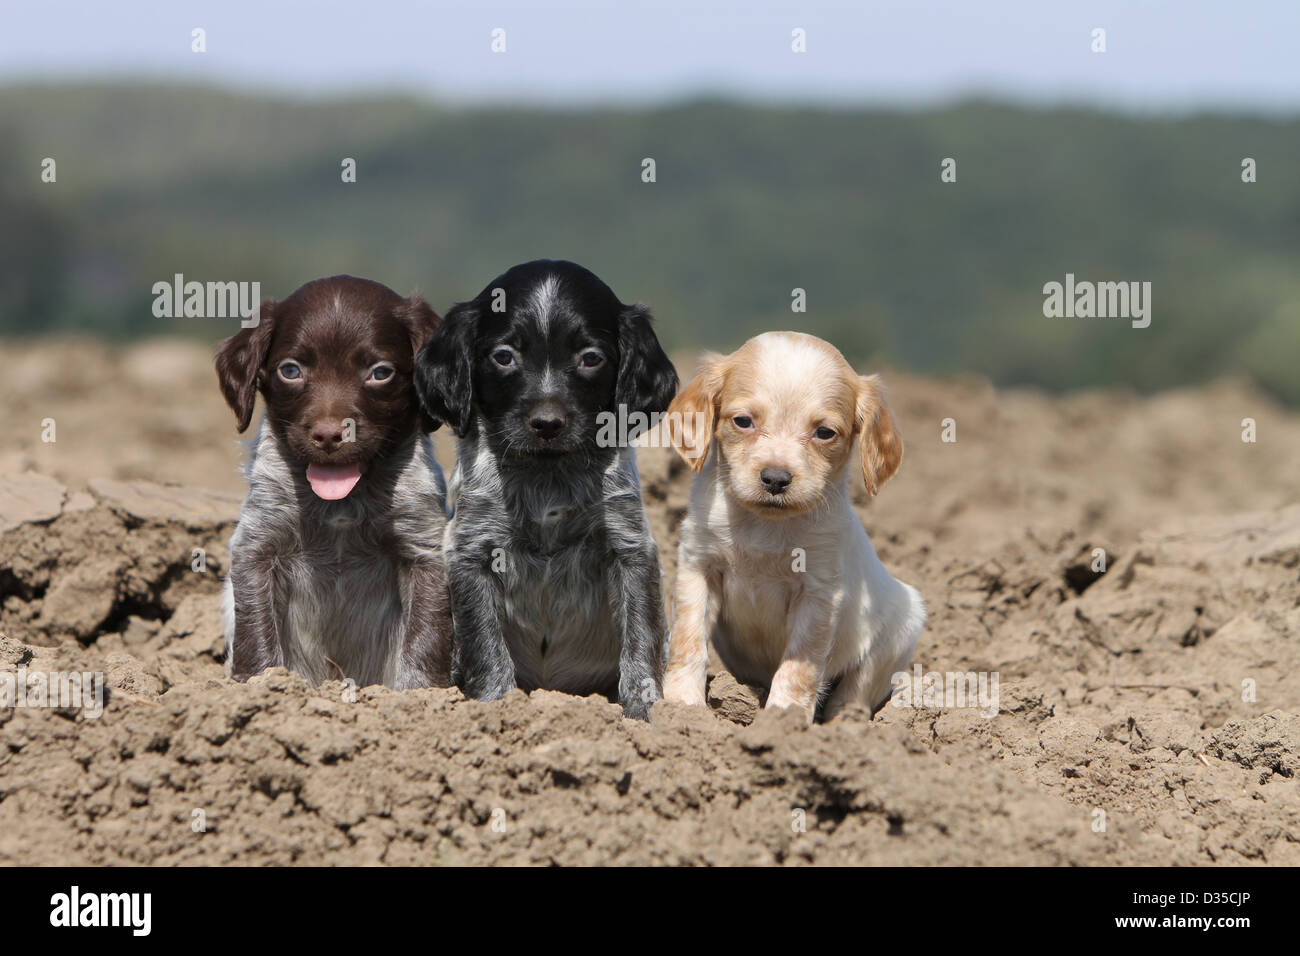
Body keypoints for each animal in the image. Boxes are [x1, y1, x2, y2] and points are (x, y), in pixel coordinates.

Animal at [215, 274, 454, 686]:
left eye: (380, 372)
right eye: (291, 370)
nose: (329, 435)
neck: (342, 502)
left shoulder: (425, 550)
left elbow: (425, 638)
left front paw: (422, 694)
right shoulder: (258, 548)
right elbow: (256, 633)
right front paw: (260, 684)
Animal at [418, 260, 681, 717]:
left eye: (590, 358)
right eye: (504, 357)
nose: (546, 423)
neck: (547, 476)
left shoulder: (630, 546)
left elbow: (641, 637)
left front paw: (644, 714)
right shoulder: (471, 551)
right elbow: (485, 646)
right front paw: (498, 707)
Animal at [660, 332, 925, 723]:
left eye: (825, 432)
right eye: (743, 421)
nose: (775, 478)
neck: (765, 525)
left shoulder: (817, 594)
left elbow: (799, 666)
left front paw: (783, 718)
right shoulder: (698, 566)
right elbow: (687, 638)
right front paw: (681, 705)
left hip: (898, 631)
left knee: (856, 691)